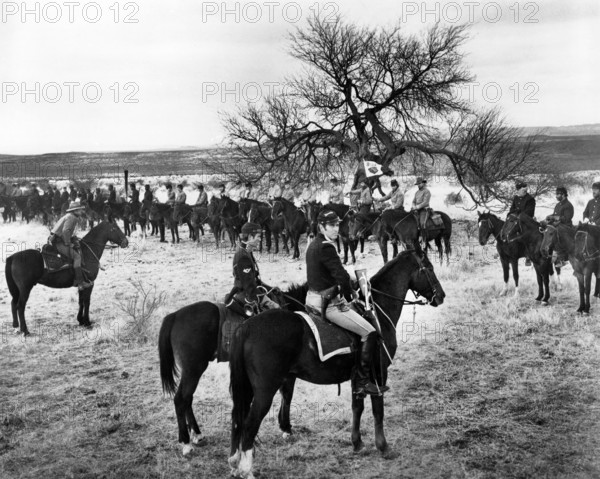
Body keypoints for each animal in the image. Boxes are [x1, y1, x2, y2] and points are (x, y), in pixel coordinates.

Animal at [158, 284, 310, 458]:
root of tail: (175, 316)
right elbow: (287, 395)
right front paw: (286, 428)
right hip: (193, 369)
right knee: (180, 399)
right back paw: (186, 443)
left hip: (192, 371)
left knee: (187, 399)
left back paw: (197, 435)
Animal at [229, 249, 446, 478]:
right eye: (429, 268)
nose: (441, 296)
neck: (376, 312)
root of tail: (247, 327)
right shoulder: (379, 373)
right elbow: (378, 409)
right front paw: (383, 446)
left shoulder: (359, 377)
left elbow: (357, 407)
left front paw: (357, 443)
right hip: (265, 391)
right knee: (249, 424)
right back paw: (246, 469)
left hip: (248, 388)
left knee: (237, 419)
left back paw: (235, 462)